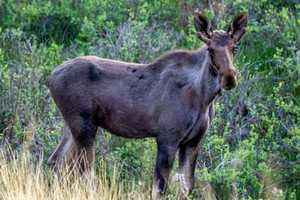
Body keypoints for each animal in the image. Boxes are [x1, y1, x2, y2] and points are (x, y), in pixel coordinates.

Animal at [47, 12, 247, 198]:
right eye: (210, 49)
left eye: (235, 48)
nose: (229, 78)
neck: (204, 97)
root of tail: (50, 78)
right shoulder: (167, 138)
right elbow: (159, 188)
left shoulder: (192, 142)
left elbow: (187, 187)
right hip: (85, 127)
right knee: (84, 173)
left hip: (71, 126)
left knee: (56, 162)